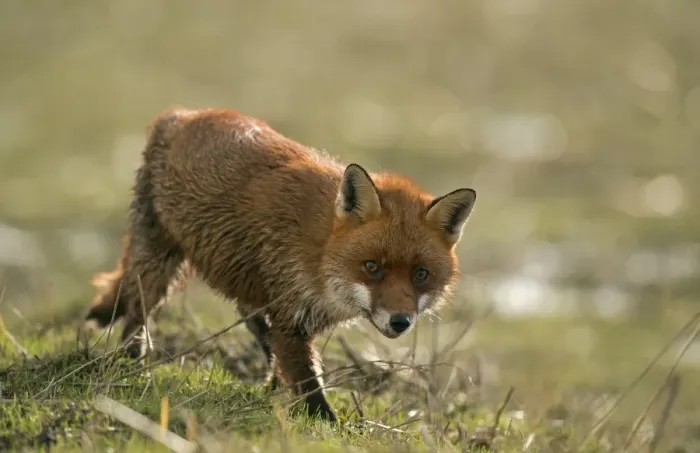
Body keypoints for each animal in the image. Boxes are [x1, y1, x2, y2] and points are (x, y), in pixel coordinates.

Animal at [80, 107, 477, 423]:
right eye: (372, 267)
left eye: (421, 274)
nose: (400, 321)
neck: (320, 254)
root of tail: (181, 114)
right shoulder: (291, 316)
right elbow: (310, 384)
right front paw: (330, 425)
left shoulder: (294, 312)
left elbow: (291, 363)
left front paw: (279, 391)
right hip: (159, 266)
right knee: (136, 310)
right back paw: (134, 362)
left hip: (244, 282)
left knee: (250, 320)